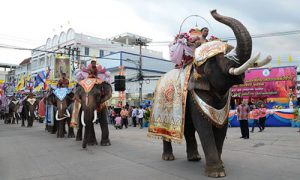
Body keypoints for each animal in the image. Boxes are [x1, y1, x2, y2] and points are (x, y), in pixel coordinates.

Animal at [151, 9, 270, 177]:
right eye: (219, 59)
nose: (213, 10)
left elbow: (221, 127)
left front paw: (221, 166)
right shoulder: (195, 92)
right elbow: (204, 127)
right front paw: (217, 173)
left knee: (188, 127)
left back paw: (194, 158)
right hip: (160, 104)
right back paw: (168, 157)